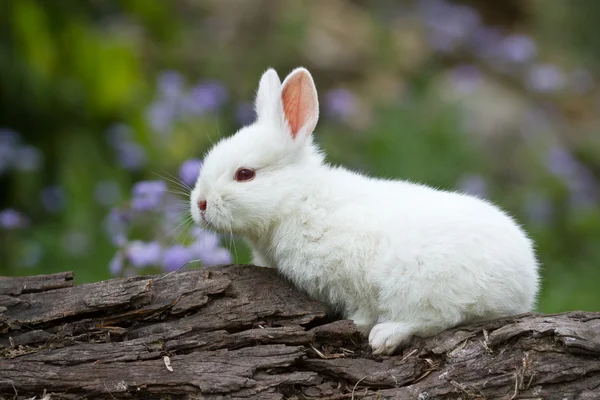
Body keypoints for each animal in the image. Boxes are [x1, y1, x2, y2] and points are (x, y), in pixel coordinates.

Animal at [190, 66, 540, 356]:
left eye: (245, 174)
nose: (201, 204)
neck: (298, 200)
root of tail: (525, 281)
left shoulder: (349, 277)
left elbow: (362, 307)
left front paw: (356, 325)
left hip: (421, 284)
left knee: (439, 316)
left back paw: (385, 337)